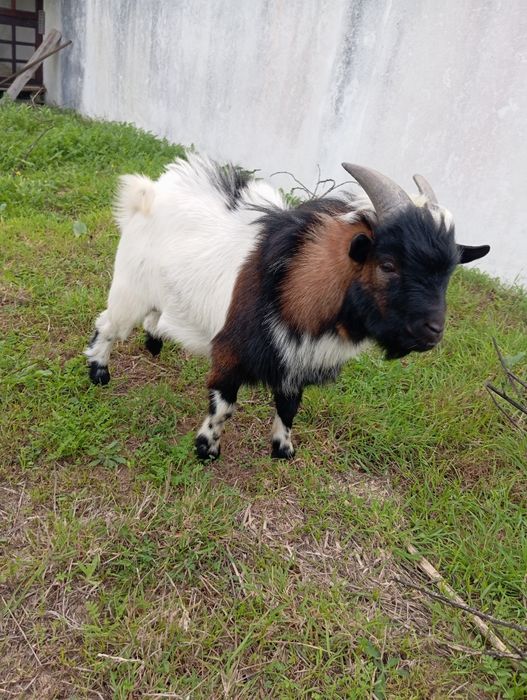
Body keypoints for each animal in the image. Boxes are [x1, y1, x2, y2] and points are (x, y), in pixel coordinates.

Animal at [86, 155, 489, 459]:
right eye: (388, 265)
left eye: (450, 272)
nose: (433, 330)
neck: (295, 285)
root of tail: (148, 194)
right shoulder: (231, 353)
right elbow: (224, 406)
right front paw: (206, 449)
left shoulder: (295, 362)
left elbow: (290, 406)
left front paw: (283, 450)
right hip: (130, 288)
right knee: (108, 325)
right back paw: (99, 372)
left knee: (155, 314)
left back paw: (154, 343)